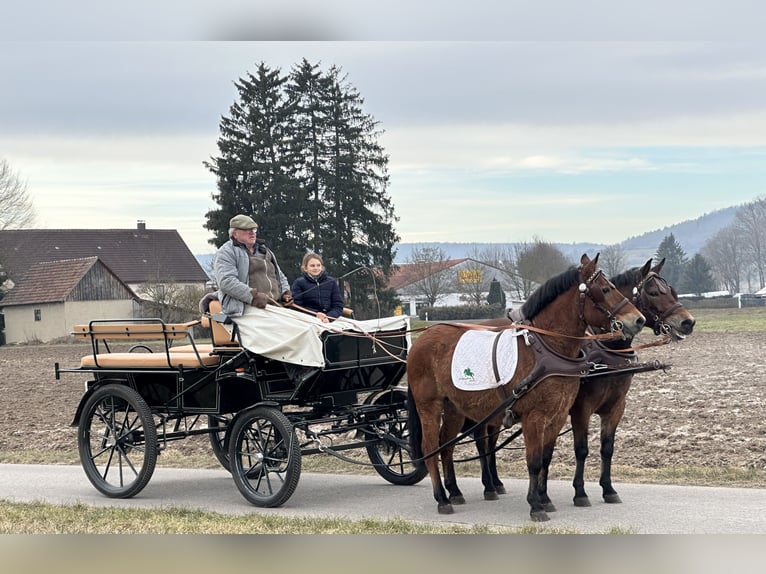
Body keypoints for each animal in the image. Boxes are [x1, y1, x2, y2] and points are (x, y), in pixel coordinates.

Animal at [408, 255, 648, 520]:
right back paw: (442, 498)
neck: (546, 348)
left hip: (454, 408)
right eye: (605, 289)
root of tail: (421, 339)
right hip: (429, 406)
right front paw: (535, 505)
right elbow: (533, 461)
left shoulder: (558, 416)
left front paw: (545, 499)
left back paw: (455, 492)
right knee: (431, 447)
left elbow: (545, 458)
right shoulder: (535, 417)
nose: (638, 319)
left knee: (446, 447)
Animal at [568, 258, 696, 506]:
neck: (606, 351)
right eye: (653, 292)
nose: (689, 322)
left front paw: (608, 489)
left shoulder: (616, 406)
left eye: (672, 290)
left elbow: (607, 448)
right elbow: (581, 450)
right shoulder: (581, 409)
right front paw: (579, 491)